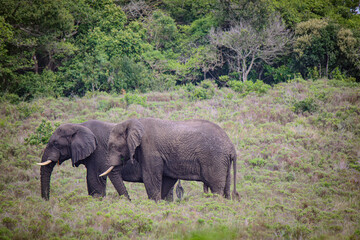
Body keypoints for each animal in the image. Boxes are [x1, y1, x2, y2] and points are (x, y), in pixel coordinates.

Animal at [100, 117, 239, 201]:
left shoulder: (150, 150)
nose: (130, 201)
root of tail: (231, 147)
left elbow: (150, 178)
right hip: (223, 161)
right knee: (226, 188)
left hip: (215, 159)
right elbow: (166, 179)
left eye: (113, 146)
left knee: (216, 188)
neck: (133, 122)